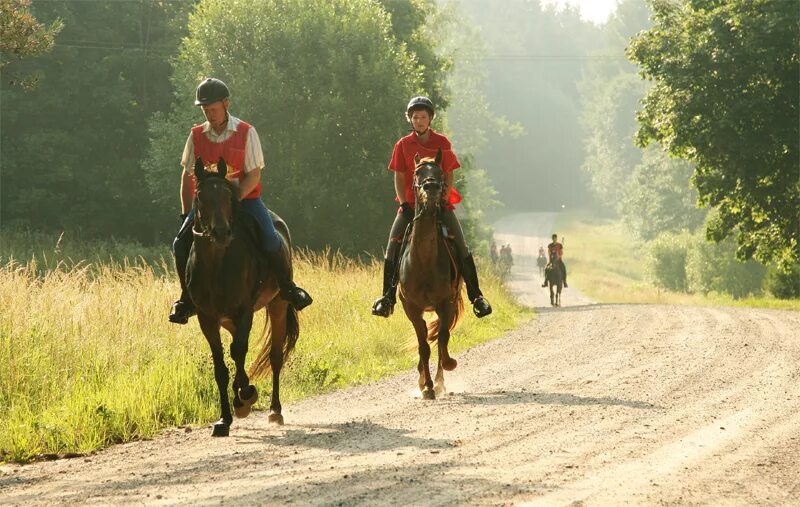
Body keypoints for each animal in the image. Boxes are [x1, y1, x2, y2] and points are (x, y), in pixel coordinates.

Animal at [188, 159, 300, 436]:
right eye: (200, 196)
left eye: (229, 196)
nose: (220, 232)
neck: (216, 265)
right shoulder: (207, 318)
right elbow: (221, 366)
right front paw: (224, 419)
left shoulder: (245, 310)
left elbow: (238, 351)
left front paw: (244, 398)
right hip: (227, 319)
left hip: (278, 305)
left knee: (274, 356)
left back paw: (274, 410)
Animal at [398, 151, 466, 400]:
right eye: (417, 172)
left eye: (438, 172)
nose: (432, 188)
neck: (424, 261)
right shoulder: (412, 308)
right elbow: (423, 346)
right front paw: (426, 386)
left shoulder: (445, 303)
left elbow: (442, 338)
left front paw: (443, 372)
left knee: (438, 339)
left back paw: (439, 380)